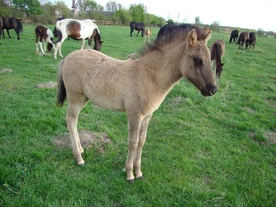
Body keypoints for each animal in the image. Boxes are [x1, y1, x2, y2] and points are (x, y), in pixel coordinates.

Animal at [57, 23, 218, 183]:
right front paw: (130, 174)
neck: (149, 75)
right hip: (75, 98)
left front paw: (138, 172)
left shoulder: (147, 115)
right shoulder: (134, 114)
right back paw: (79, 158)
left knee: (74, 121)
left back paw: (80, 149)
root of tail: (67, 58)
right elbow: (133, 142)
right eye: (197, 60)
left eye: (210, 58)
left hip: (83, 99)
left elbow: (141, 141)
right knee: (70, 120)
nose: (212, 89)